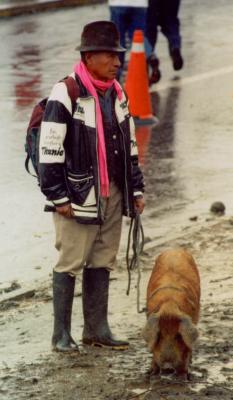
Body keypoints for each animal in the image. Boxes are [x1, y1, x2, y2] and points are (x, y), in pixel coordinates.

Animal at [142, 248, 200, 376]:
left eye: (178, 336)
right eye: (160, 335)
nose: (168, 368)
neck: (169, 305)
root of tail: (175, 248)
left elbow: (187, 348)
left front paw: (183, 374)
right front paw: (151, 373)